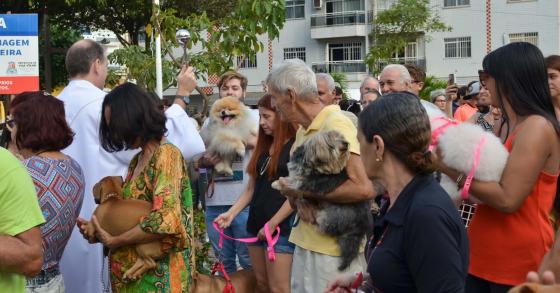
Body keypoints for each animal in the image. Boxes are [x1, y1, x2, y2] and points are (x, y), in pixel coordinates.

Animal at [272, 129, 372, 270]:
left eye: (342, 137)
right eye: (332, 139)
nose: (346, 143)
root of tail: (361, 225)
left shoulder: (310, 182)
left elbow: (294, 182)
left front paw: (278, 184)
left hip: (331, 215)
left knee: (324, 225)